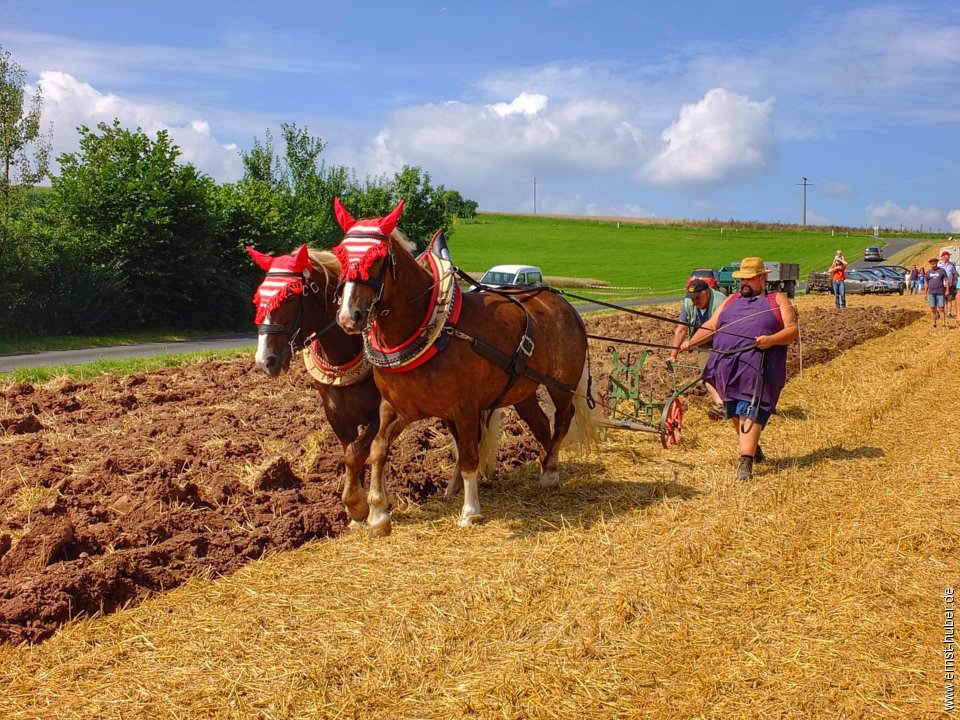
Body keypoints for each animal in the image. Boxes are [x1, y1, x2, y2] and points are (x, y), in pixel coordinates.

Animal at [334, 197, 596, 536]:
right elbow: (378, 449)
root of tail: (565, 305)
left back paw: (550, 469)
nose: (348, 316)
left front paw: (470, 511)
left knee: (563, 418)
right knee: (541, 424)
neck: (427, 328)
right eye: (341, 253)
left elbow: (470, 455)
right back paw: (545, 468)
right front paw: (377, 513)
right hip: (522, 390)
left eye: (377, 258)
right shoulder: (396, 407)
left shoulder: (464, 407)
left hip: (560, 384)